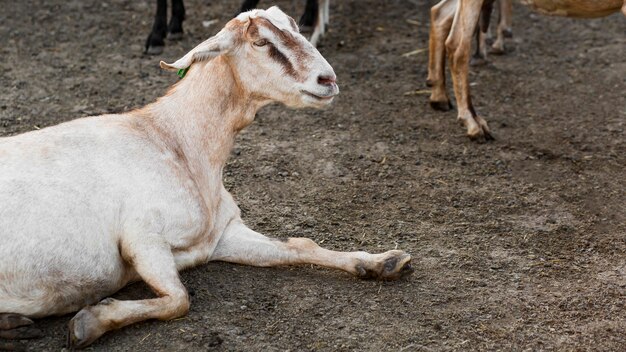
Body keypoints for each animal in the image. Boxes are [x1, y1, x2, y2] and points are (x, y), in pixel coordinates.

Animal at [0, 6, 412, 350]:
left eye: (297, 27)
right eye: (260, 42)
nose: (328, 79)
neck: (173, 140)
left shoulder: (220, 236)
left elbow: (301, 246)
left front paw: (384, 262)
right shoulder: (141, 236)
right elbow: (178, 300)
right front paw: (88, 323)